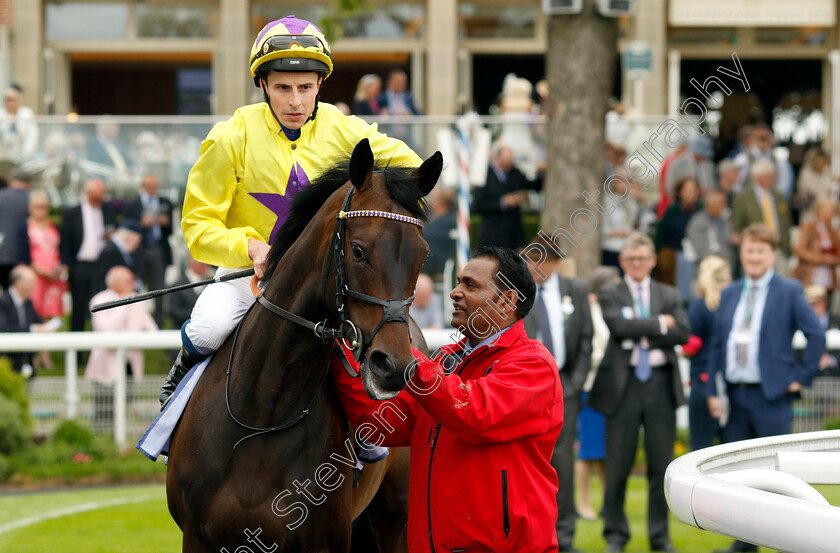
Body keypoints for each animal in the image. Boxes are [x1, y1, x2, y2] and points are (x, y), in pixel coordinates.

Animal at [163, 139, 440, 552]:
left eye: (423, 254)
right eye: (358, 250)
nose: (392, 367)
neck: (263, 414)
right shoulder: (198, 538)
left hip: (398, 519)